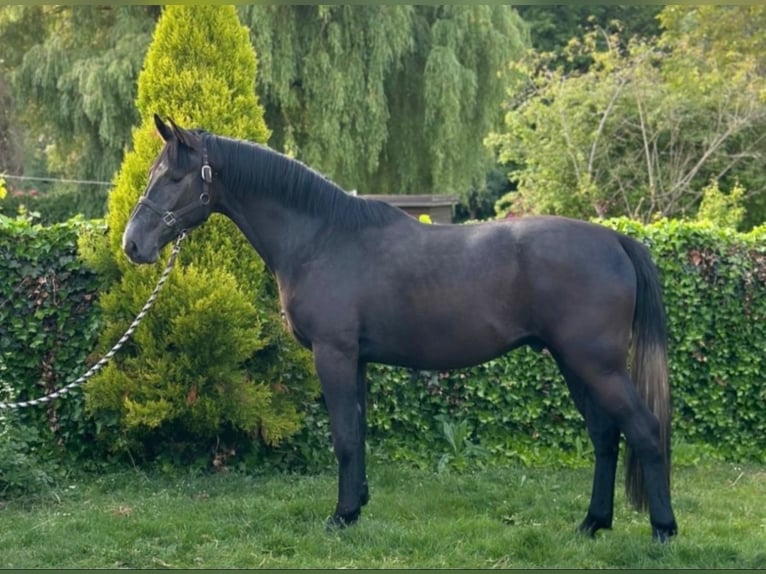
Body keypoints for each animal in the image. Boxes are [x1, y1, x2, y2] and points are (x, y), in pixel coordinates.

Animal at [123, 115, 678, 541]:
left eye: (173, 177)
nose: (133, 244)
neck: (322, 237)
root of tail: (616, 240)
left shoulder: (334, 354)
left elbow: (344, 436)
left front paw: (341, 516)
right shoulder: (357, 360)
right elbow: (358, 431)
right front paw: (358, 506)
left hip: (595, 365)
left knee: (644, 431)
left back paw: (663, 529)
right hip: (573, 363)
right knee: (606, 435)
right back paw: (592, 523)